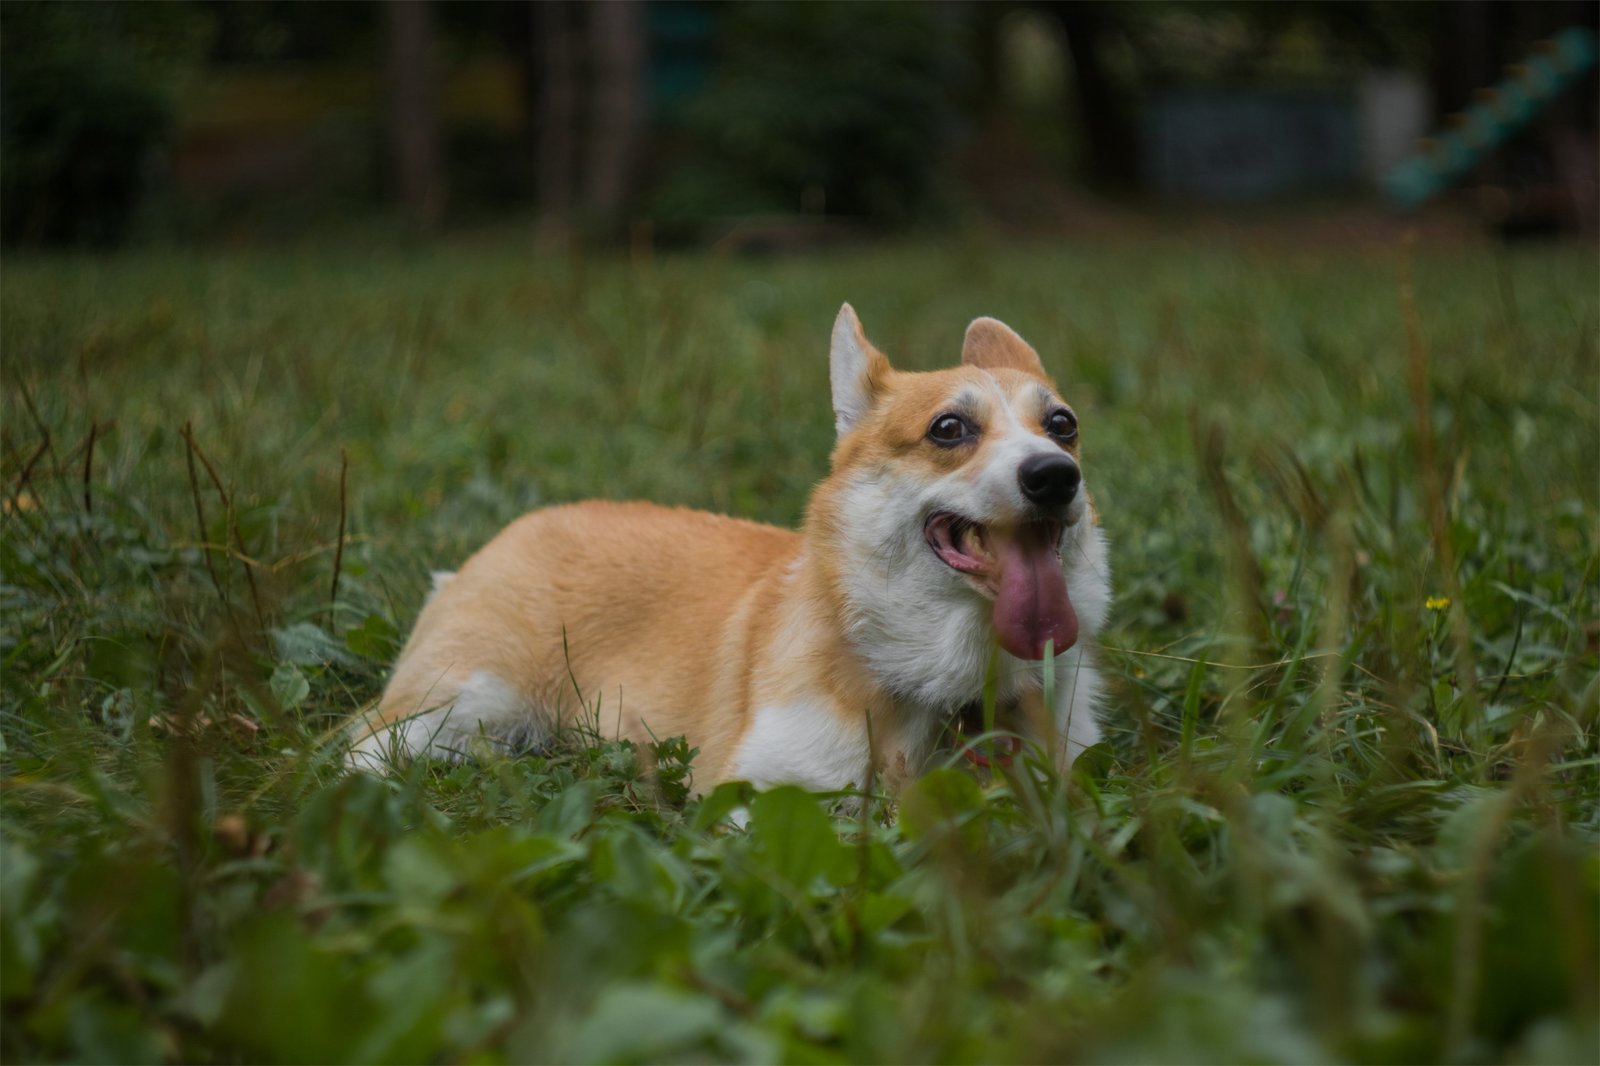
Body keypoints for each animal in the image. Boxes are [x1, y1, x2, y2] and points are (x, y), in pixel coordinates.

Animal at [344, 302, 1107, 784]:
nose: (1055, 477)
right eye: (948, 429)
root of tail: (509, 532)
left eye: (1063, 425)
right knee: (360, 745)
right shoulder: (758, 791)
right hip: (461, 699)